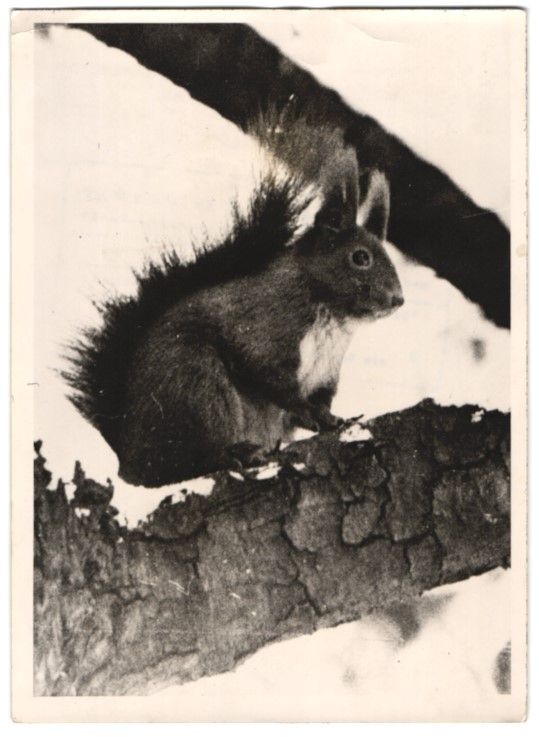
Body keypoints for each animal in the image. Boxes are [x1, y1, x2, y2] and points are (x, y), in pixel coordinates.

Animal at [64, 117, 404, 487]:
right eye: (360, 258)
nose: (397, 300)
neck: (332, 317)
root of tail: (128, 455)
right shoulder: (266, 330)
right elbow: (269, 376)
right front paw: (307, 413)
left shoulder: (325, 374)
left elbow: (320, 402)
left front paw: (331, 420)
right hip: (196, 386)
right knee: (181, 463)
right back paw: (236, 453)